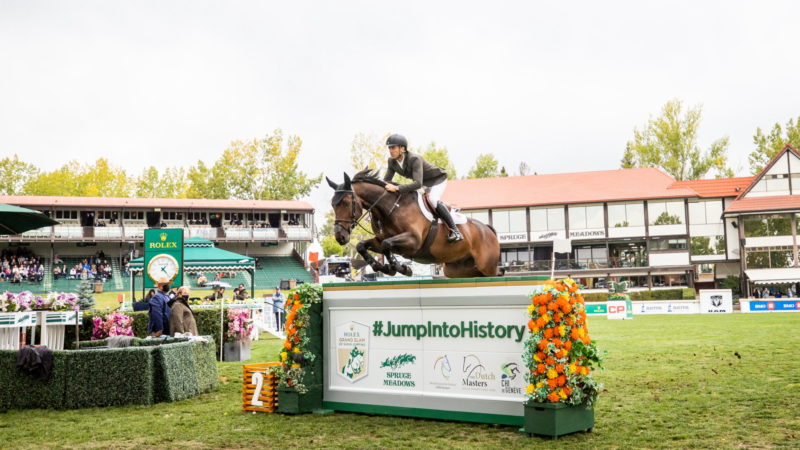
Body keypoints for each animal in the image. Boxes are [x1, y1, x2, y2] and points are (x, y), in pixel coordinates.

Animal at [324, 171, 500, 280]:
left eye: (346, 203)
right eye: (332, 205)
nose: (340, 237)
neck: (392, 208)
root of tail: (488, 230)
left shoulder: (414, 241)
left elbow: (387, 245)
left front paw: (399, 268)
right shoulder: (380, 240)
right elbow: (362, 246)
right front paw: (381, 267)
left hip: (487, 268)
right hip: (457, 270)